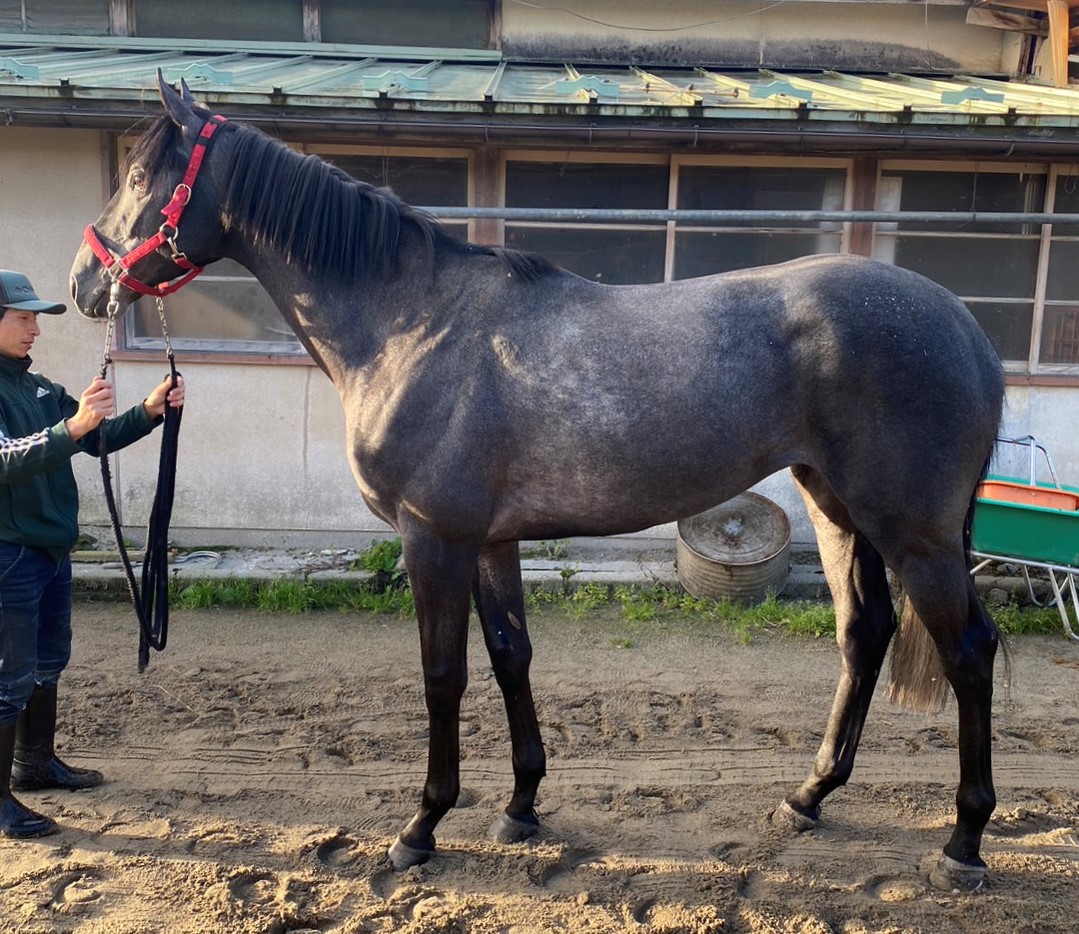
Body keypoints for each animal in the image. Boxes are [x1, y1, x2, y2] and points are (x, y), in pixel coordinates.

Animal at [70, 74, 1006, 892]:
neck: (412, 325)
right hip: (837, 507)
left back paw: (962, 842)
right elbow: (509, 655)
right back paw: (807, 796)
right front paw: (520, 806)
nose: (84, 282)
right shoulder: (490, 541)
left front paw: (421, 826)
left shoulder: (433, 539)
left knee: (968, 652)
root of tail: (964, 326)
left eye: (141, 176)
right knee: (864, 633)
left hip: (913, 531)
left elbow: (442, 674)